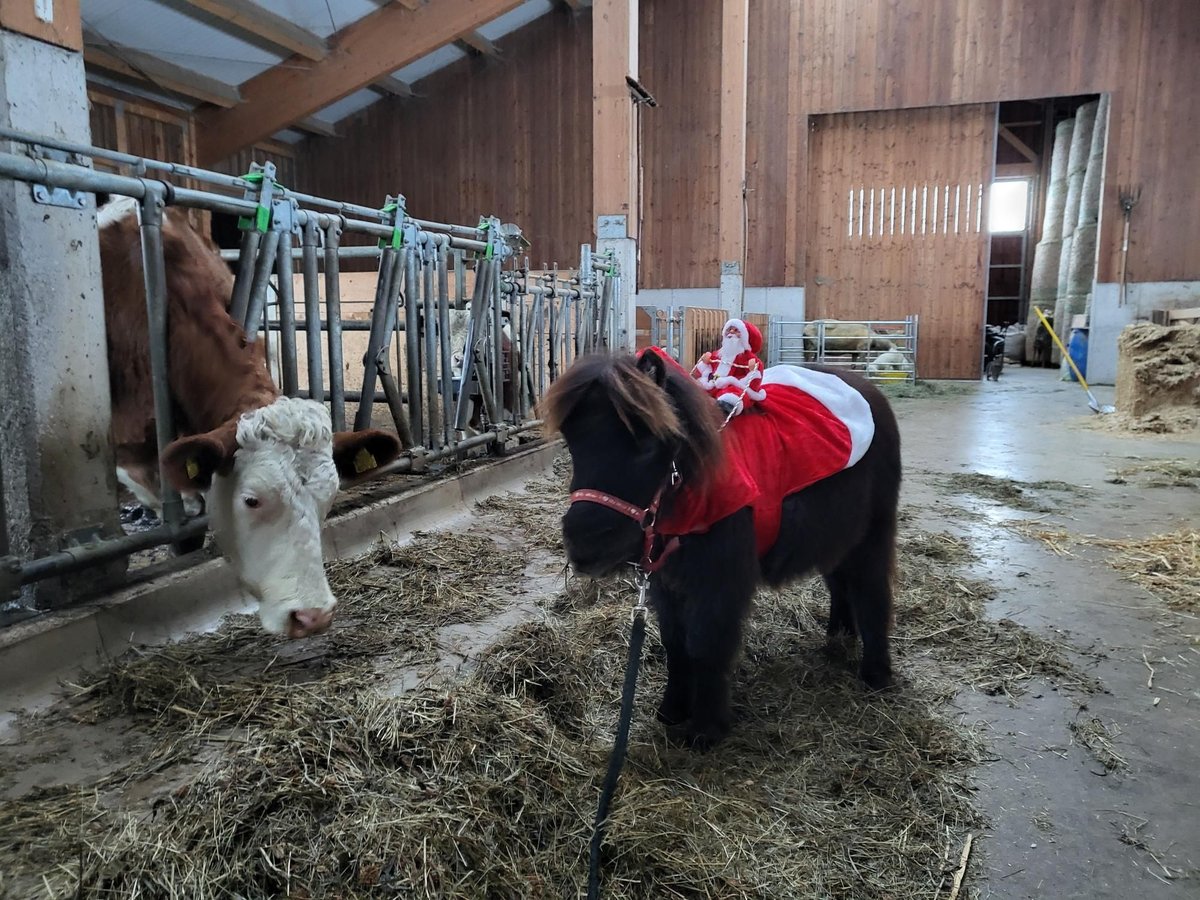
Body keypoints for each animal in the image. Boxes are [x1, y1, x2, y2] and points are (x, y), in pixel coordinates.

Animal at [542, 348, 902, 748]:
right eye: (571, 441)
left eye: (648, 443)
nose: (584, 545)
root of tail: (867, 389)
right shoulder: (667, 585)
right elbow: (675, 645)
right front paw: (671, 710)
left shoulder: (719, 587)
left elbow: (706, 647)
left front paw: (705, 729)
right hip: (835, 535)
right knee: (840, 582)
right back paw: (839, 637)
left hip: (873, 533)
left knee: (871, 591)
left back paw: (876, 674)